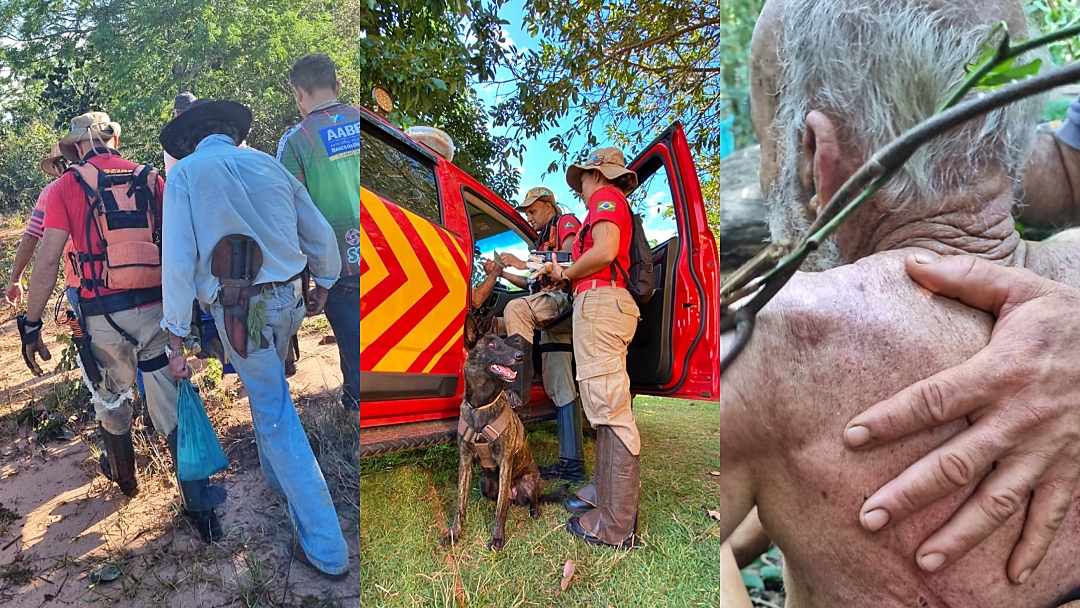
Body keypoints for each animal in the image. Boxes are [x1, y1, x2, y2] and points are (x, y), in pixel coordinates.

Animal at [440, 319, 565, 552]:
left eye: (506, 343)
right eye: (491, 345)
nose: (520, 355)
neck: (482, 405)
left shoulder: (505, 461)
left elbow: (500, 511)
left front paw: (497, 538)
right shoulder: (465, 461)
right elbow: (460, 504)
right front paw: (454, 534)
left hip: (529, 481)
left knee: (531, 500)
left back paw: (534, 511)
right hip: (484, 482)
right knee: (502, 499)